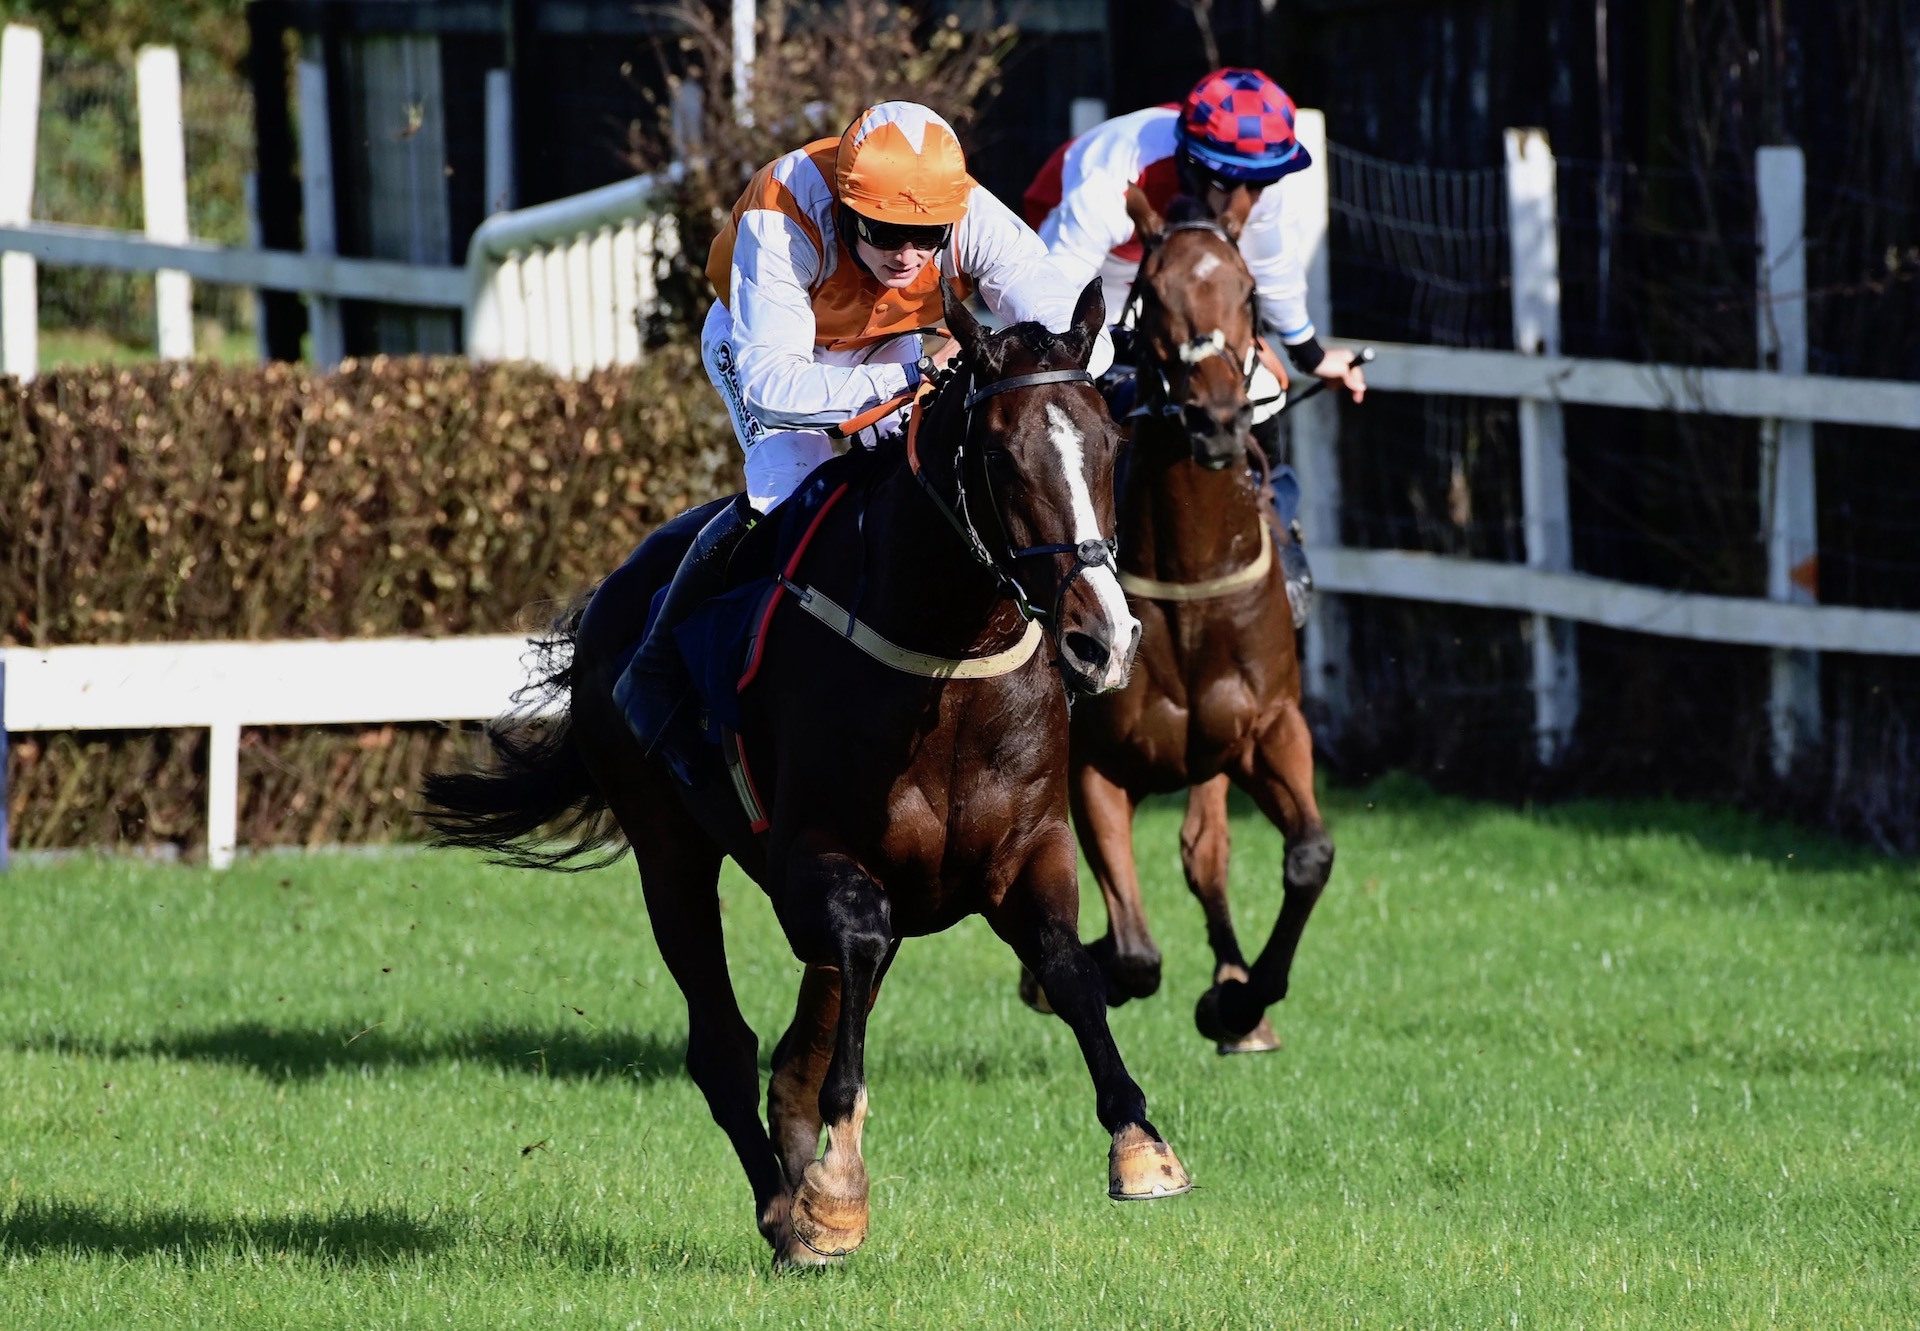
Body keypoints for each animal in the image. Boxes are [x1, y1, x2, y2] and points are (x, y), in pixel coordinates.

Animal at [428, 280, 1190, 1267]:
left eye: (1109, 444)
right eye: (1001, 456)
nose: (1104, 638)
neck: (946, 664)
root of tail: (610, 595)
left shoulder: (1027, 847)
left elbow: (1069, 969)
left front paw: (1141, 1143)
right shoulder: (817, 861)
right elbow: (853, 955)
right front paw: (835, 1187)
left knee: (793, 1050)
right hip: (669, 851)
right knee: (723, 1044)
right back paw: (784, 1209)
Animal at [1021, 192, 1336, 1052]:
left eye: (1247, 289)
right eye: (1156, 294)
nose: (1216, 419)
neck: (1192, 583)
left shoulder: (1270, 728)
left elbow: (1308, 856)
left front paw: (1238, 1001)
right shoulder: (1096, 765)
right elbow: (1132, 953)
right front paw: (1061, 974)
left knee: (1206, 849)